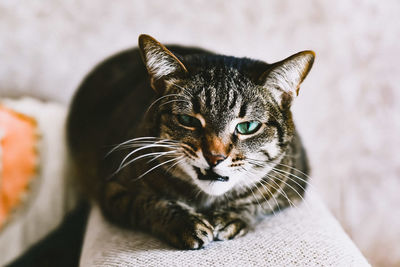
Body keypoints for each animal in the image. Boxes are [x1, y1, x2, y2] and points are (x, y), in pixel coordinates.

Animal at [66, 34, 316, 250]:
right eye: (188, 120)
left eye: (248, 127)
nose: (215, 157)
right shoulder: (114, 189)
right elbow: (149, 203)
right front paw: (186, 223)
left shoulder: (295, 181)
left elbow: (258, 203)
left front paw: (230, 217)